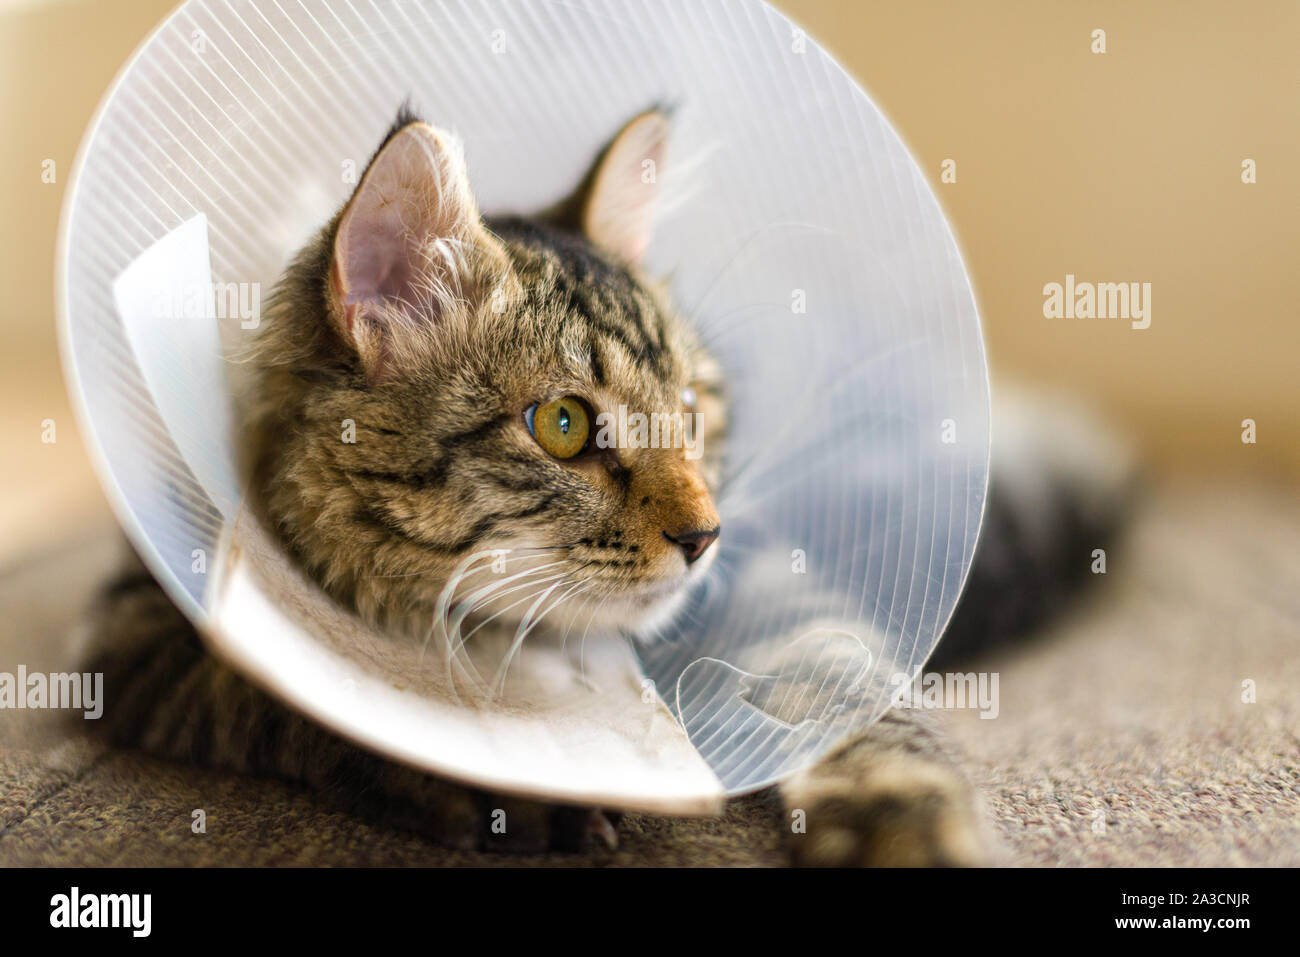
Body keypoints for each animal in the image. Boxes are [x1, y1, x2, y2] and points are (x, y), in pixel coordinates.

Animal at [81, 106, 1128, 868]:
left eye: (692, 412)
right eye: (564, 426)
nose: (706, 536)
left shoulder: (788, 599)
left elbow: (869, 710)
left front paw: (915, 834)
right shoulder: (147, 632)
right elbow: (310, 711)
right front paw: (500, 788)